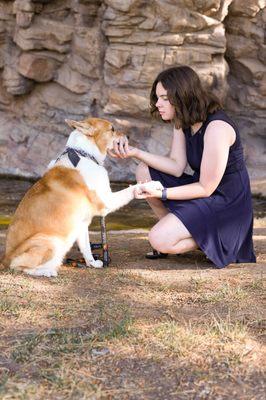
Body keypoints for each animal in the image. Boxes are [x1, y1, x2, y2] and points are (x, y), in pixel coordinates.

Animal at [2, 117, 163, 276]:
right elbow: (133, 188)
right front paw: (152, 185)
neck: (85, 155)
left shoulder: (82, 223)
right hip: (51, 241)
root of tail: (4, 260)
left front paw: (93, 264)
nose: (128, 137)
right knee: (20, 267)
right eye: (112, 129)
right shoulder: (106, 202)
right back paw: (48, 272)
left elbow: (86, 248)